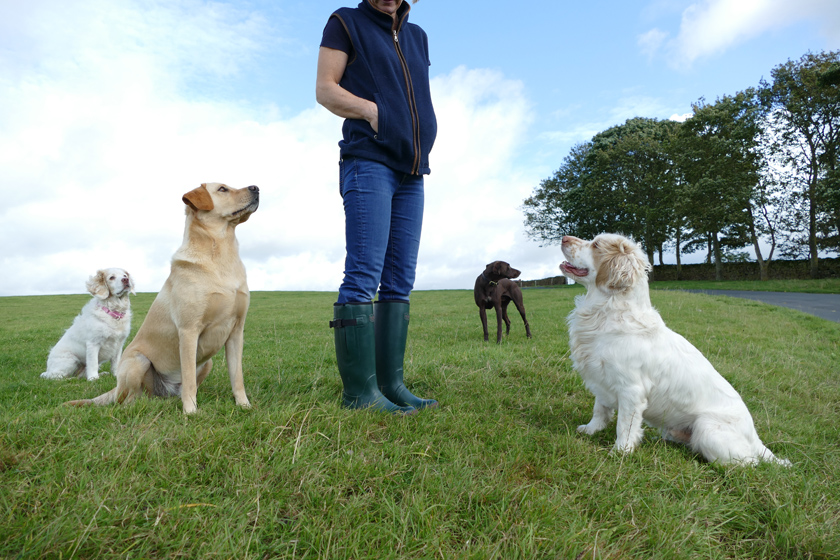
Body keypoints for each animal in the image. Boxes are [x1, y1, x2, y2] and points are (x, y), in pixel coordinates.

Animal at [69, 184, 260, 416]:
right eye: (223, 189)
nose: (256, 188)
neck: (221, 253)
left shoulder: (236, 331)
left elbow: (237, 377)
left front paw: (244, 405)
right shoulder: (188, 331)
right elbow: (188, 379)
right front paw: (190, 411)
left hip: (208, 363)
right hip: (138, 361)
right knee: (128, 400)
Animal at [560, 234, 792, 466]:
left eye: (596, 244)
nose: (564, 238)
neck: (606, 311)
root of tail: (754, 437)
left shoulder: (631, 390)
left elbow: (624, 426)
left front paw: (620, 453)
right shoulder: (600, 377)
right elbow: (599, 409)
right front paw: (591, 430)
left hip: (707, 429)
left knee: (749, 463)